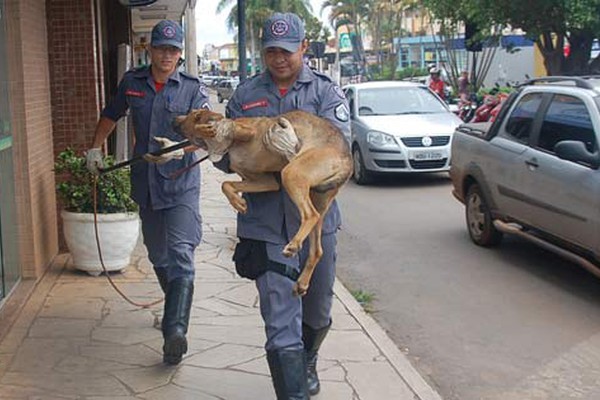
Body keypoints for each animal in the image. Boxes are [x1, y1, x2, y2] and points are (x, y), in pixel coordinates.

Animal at [173, 108, 352, 296]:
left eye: (194, 115)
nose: (173, 120)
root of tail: (348, 160)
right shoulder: (265, 182)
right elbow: (226, 184)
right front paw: (238, 202)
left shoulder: (248, 130)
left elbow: (228, 127)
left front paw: (207, 128)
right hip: (318, 199)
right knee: (317, 250)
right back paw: (302, 282)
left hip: (292, 173)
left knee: (311, 215)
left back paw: (294, 244)